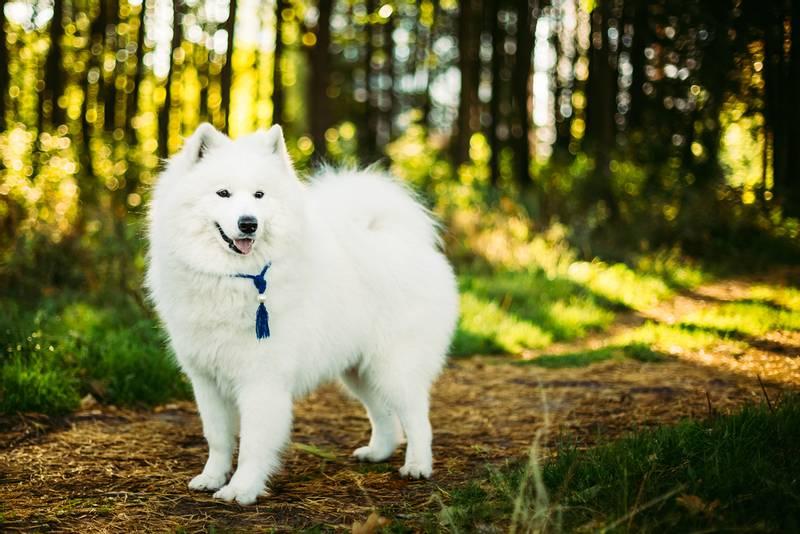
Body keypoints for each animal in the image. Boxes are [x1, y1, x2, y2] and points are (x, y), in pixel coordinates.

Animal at [145, 124, 456, 506]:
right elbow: (217, 437)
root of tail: (406, 242)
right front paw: (212, 477)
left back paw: (417, 466)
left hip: (393, 366)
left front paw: (242, 489)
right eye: (223, 193)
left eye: (259, 195)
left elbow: (252, 444)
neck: (234, 278)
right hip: (359, 370)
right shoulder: (206, 380)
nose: (248, 224)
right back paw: (377, 452)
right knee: (384, 416)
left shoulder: (261, 380)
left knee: (417, 419)